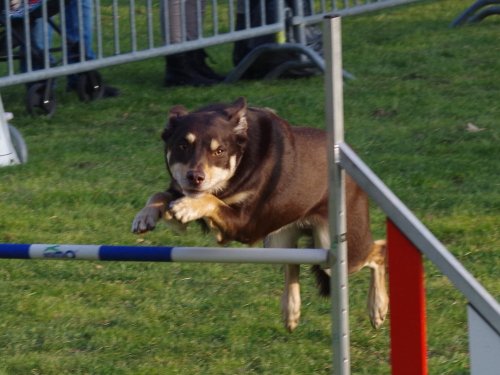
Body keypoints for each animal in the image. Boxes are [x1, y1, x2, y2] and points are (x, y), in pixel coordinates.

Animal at [131, 97, 388, 332]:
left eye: (220, 151)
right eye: (182, 146)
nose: (195, 177)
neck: (241, 162)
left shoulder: (244, 224)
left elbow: (210, 200)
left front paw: (186, 206)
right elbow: (160, 195)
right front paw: (145, 216)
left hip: (339, 251)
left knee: (379, 251)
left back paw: (377, 308)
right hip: (280, 240)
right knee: (293, 265)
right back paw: (291, 310)